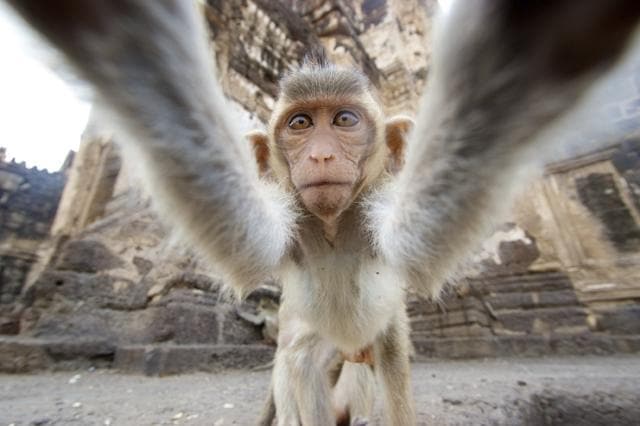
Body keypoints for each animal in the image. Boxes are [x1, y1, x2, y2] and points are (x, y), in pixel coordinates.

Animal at [6, 0, 640, 424]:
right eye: (299, 124)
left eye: (346, 121)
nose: (322, 155)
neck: (334, 228)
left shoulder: (377, 216)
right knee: (299, 367)